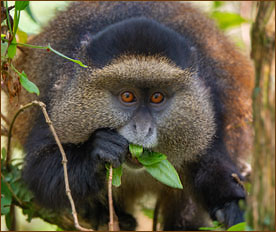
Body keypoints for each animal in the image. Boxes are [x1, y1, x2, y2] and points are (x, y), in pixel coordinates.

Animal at [8, 1, 254, 230]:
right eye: (127, 96)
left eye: (157, 97)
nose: (142, 128)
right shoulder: (52, 92)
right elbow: (40, 174)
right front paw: (98, 151)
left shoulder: (211, 101)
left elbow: (211, 164)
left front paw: (232, 206)